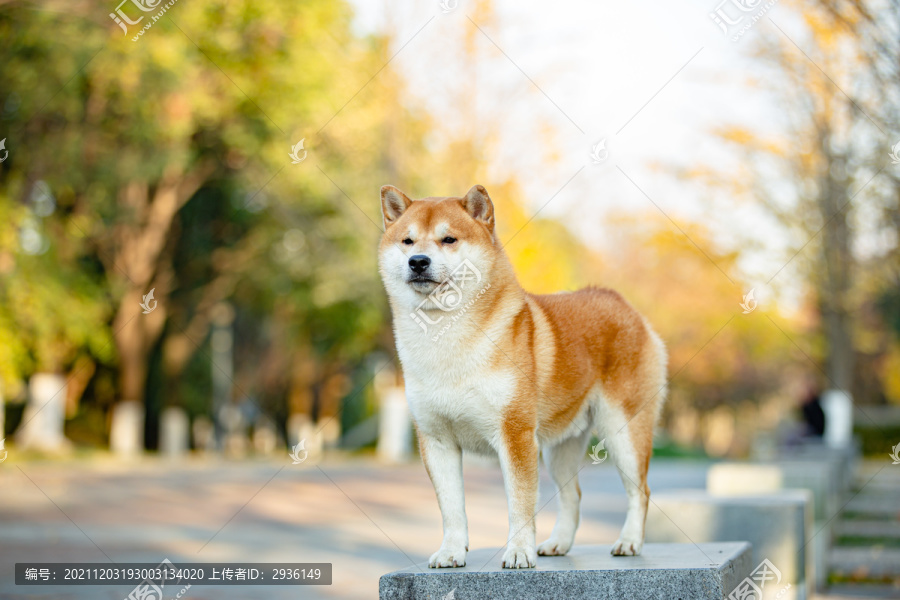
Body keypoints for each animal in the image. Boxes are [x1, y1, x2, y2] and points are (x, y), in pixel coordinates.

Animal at [376, 185, 664, 568]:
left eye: (449, 239)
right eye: (407, 241)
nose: (418, 261)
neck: (445, 339)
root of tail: (625, 306)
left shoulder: (515, 436)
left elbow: (519, 505)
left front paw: (518, 553)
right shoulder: (437, 440)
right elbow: (451, 508)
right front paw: (451, 551)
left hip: (623, 432)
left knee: (640, 491)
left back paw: (629, 541)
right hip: (561, 449)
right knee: (573, 495)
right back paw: (558, 543)